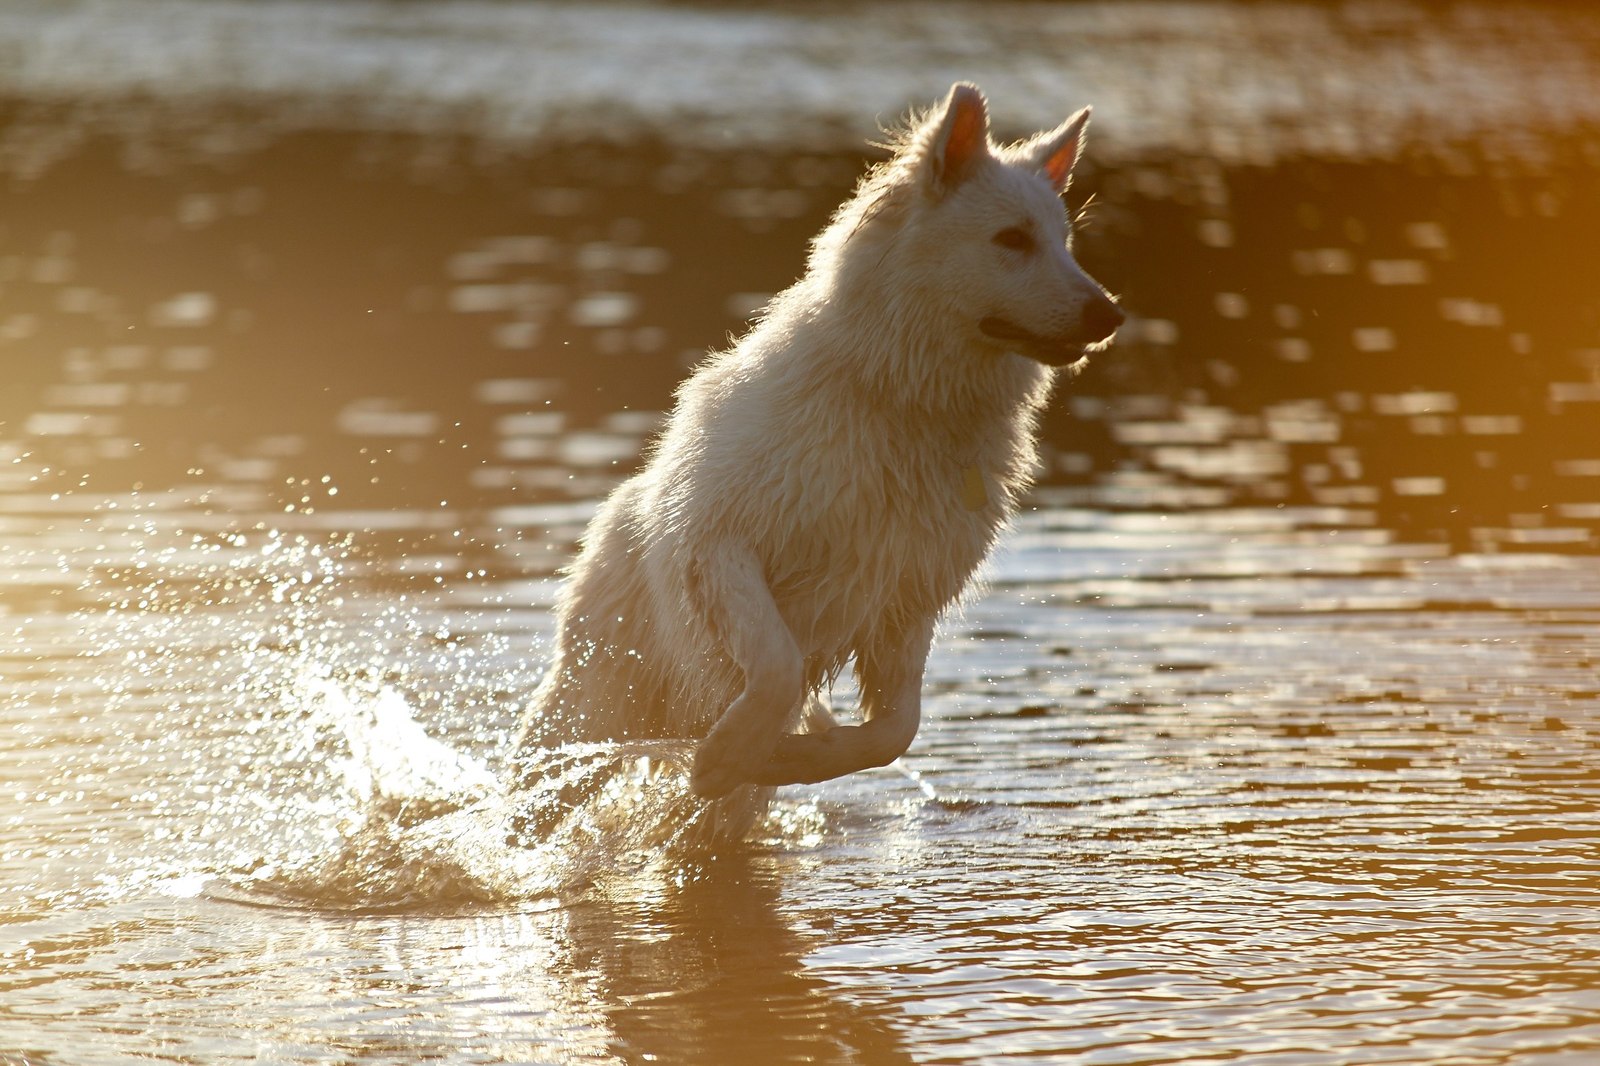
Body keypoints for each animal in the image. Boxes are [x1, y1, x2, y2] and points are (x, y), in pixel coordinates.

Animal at [515, 83, 1126, 838]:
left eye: (1064, 244)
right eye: (1012, 239)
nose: (1111, 316)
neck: (899, 403)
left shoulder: (906, 599)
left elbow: (892, 733)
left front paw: (776, 756)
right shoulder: (721, 545)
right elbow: (776, 668)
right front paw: (730, 749)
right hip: (587, 712)